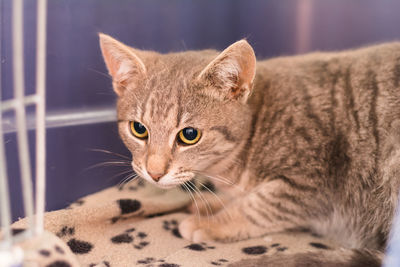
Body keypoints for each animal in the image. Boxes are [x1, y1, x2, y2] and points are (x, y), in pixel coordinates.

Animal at [99, 33, 400, 266]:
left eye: (189, 135)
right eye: (139, 129)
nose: (154, 173)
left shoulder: (310, 182)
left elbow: (257, 207)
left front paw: (210, 222)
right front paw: (211, 202)